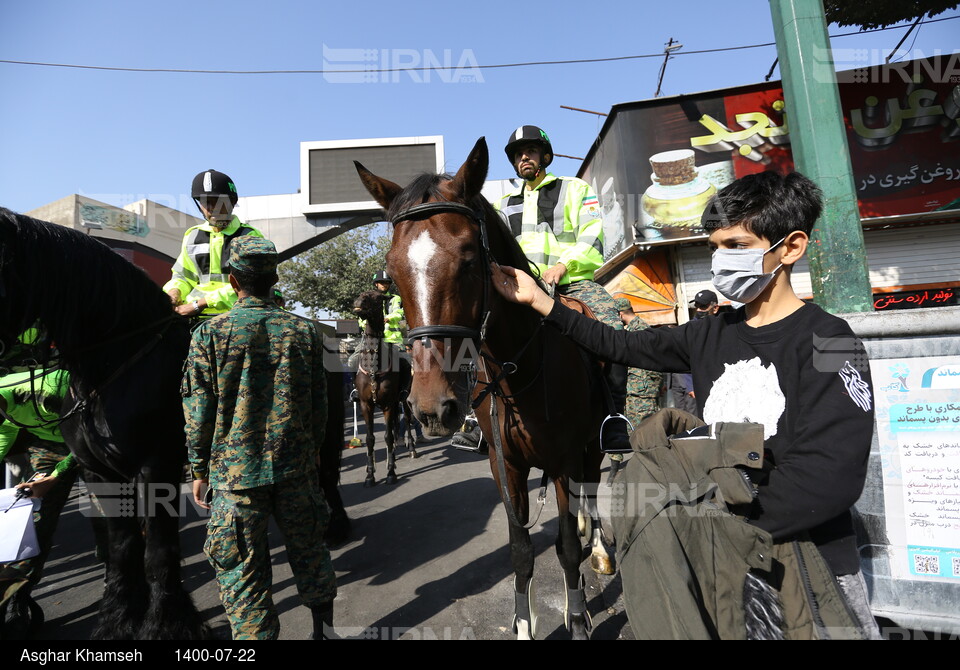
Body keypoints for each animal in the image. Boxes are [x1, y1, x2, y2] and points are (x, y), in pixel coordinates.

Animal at [350, 292, 414, 486]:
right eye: (360, 295)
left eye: (377, 298)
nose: (358, 303)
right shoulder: (366, 404)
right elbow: (370, 438)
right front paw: (370, 474)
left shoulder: (388, 404)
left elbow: (388, 436)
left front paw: (391, 473)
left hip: (404, 400)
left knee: (406, 421)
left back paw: (411, 448)